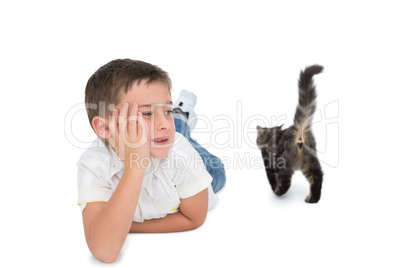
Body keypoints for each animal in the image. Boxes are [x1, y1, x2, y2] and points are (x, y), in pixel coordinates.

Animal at [258, 65, 324, 203]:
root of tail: (297, 131)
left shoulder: (268, 162)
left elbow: (271, 178)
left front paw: (274, 187)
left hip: (284, 163)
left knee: (285, 182)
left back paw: (278, 192)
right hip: (311, 160)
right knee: (317, 177)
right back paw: (312, 199)